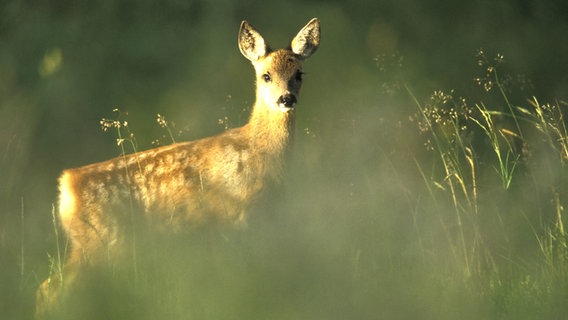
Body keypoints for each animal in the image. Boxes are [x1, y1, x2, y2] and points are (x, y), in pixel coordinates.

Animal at [35, 18, 320, 318]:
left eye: (299, 74)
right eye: (266, 75)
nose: (286, 99)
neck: (258, 150)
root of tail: (67, 185)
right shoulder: (228, 216)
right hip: (100, 240)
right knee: (52, 288)